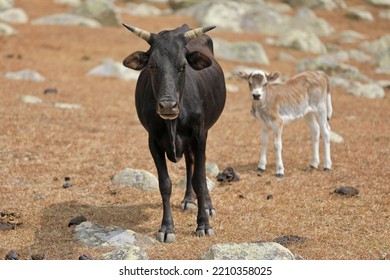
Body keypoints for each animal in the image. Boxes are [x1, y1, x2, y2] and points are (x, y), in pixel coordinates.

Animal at [122, 23, 225, 243]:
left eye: (183, 66)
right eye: (152, 65)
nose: (168, 105)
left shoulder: (199, 136)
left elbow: (200, 180)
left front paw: (203, 225)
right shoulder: (153, 142)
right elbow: (165, 184)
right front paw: (167, 228)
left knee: (198, 168)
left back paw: (207, 205)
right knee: (190, 162)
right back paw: (188, 200)